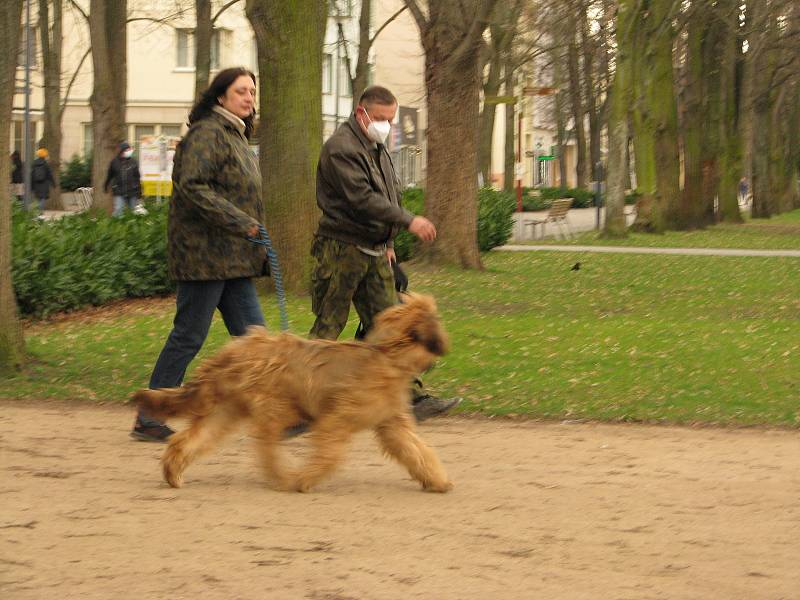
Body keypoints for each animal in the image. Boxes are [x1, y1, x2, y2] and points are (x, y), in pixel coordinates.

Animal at [134, 292, 454, 494]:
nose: (444, 344)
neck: (388, 356)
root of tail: (232, 351)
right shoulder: (336, 420)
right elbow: (329, 455)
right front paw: (305, 479)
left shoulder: (392, 424)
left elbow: (416, 449)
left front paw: (436, 480)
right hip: (272, 407)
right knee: (266, 448)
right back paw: (284, 476)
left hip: (225, 410)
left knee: (189, 439)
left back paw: (173, 473)